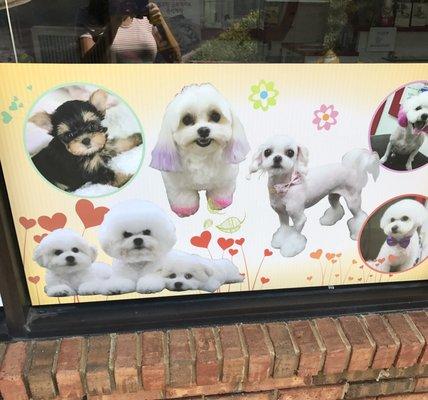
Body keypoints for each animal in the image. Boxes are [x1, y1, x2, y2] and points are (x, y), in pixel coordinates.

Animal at [150, 82, 251, 217]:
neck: (202, 155)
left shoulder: (224, 181)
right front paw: (185, 210)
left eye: (215, 116)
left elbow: (220, 191)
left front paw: (219, 204)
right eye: (186, 119)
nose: (203, 130)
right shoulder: (178, 186)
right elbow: (183, 197)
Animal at [249, 136, 380, 258]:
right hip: (333, 195)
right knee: (336, 207)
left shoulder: (298, 217)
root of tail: (352, 169)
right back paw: (329, 220)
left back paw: (357, 233)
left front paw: (290, 248)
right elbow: (284, 228)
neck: (285, 185)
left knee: (360, 216)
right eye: (267, 152)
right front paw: (280, 240)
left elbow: (295, 235)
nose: (277, 157)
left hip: (353, 200)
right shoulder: (281, 213)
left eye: (290, 152)